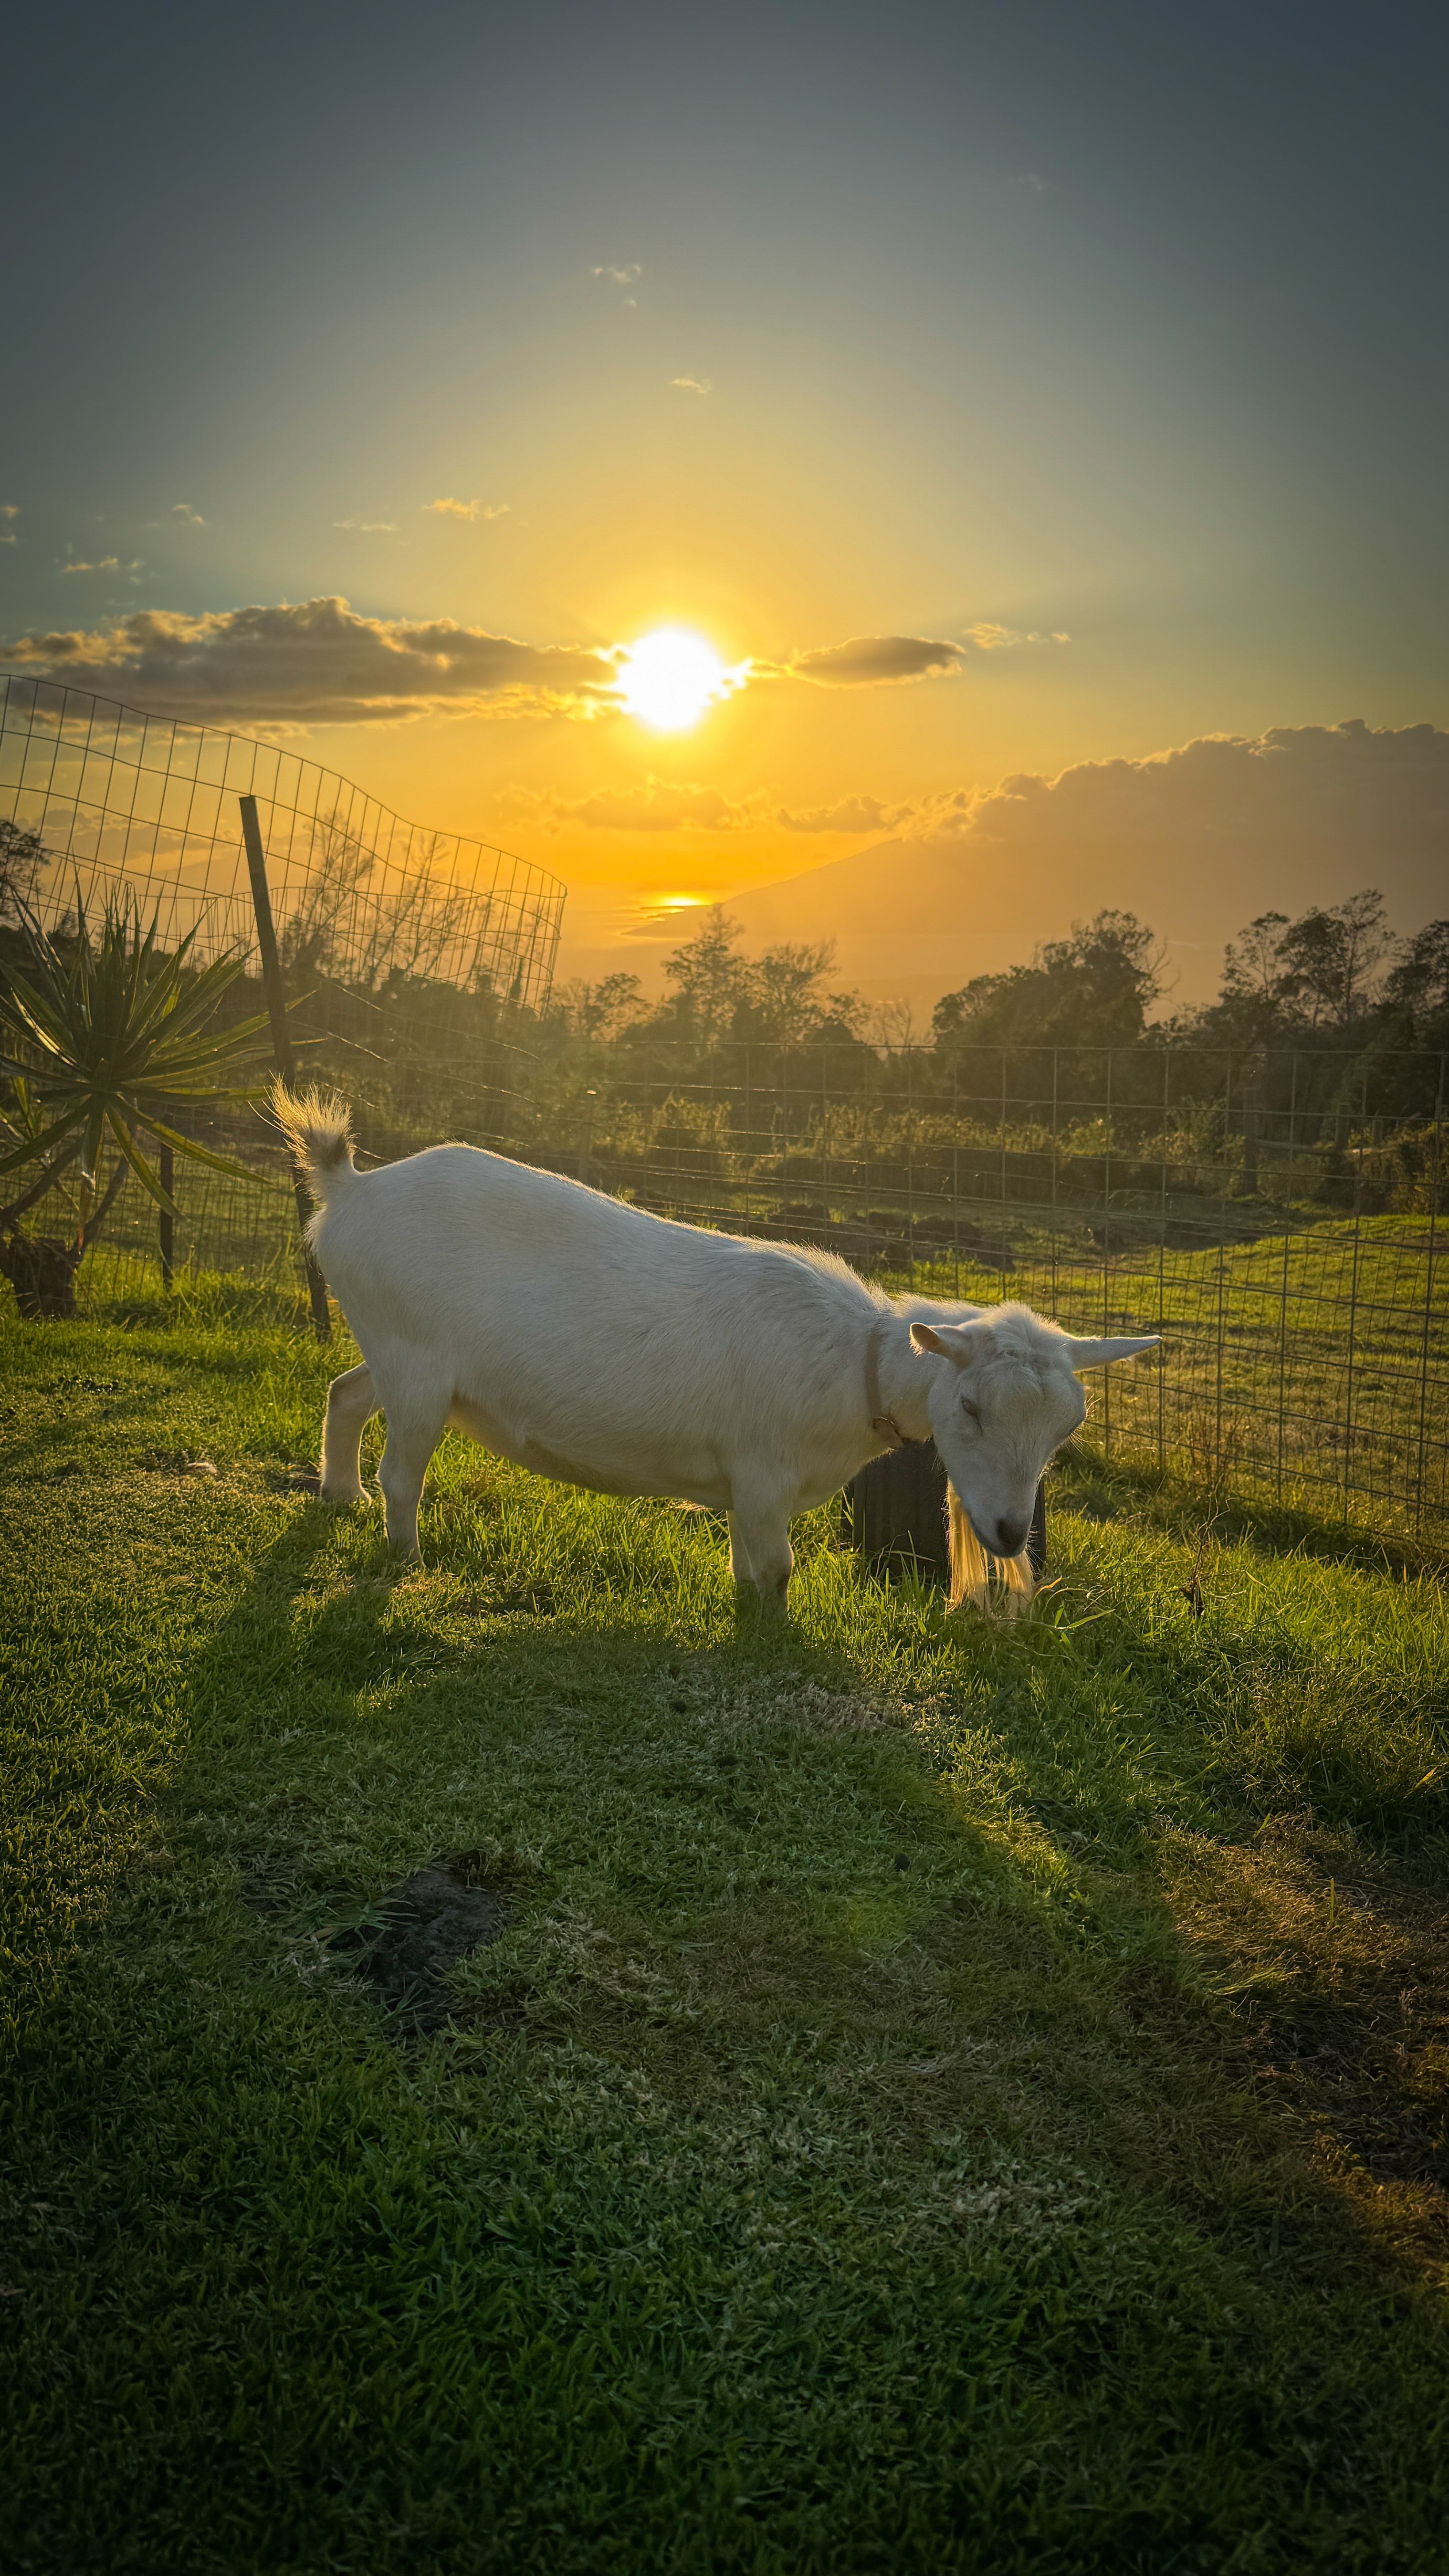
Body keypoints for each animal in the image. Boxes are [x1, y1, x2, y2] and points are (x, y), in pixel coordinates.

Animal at [272, 1085, 1156, 1611]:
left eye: (1066, 1430)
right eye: (968, 1407)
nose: (1008, 1534)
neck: (858, 1362)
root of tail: (349, 1189)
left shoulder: (746, 1483)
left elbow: (746, 1563)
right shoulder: (762, 1473)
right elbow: (776, 1570)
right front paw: (769, 1639)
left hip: (402, 1350)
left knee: (346, 1392)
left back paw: (340, 1495)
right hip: (417, 1360)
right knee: (402, 1470)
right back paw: (403, 1554)